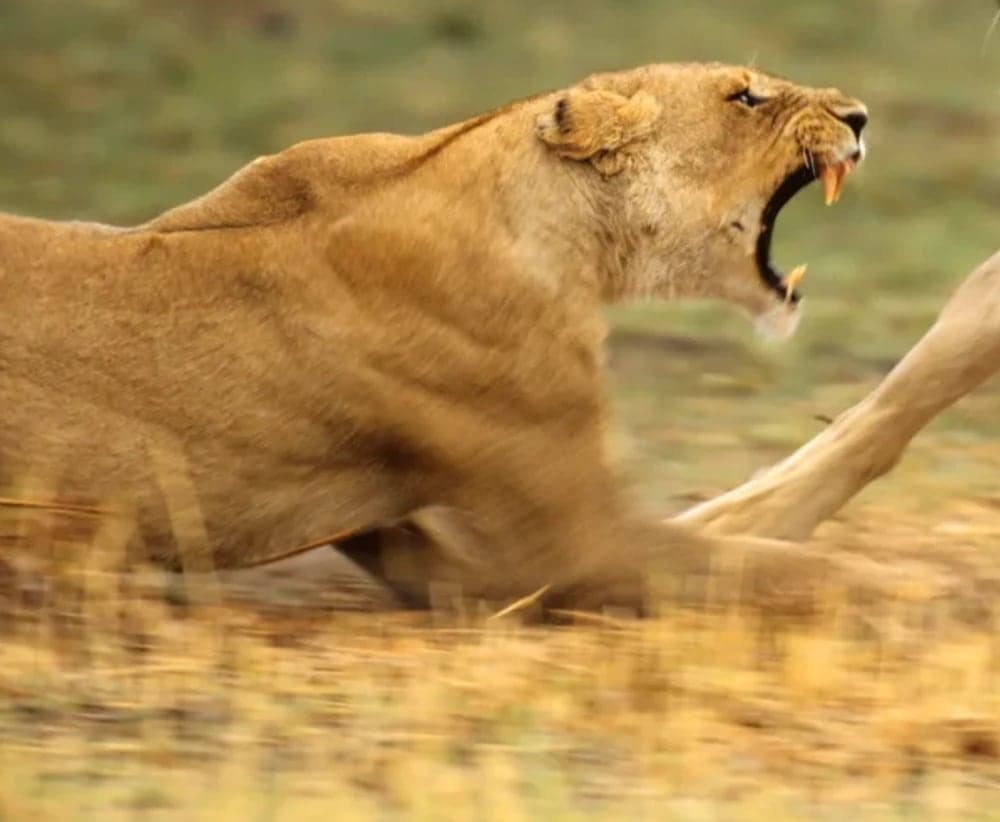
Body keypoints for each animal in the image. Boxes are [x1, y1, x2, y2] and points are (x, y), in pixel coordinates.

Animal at [2, 62, 902, 614]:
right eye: (744, 97)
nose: (860, 114)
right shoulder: (581, 544)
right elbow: (774, 566)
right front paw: (913, 588)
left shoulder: (460, 555)